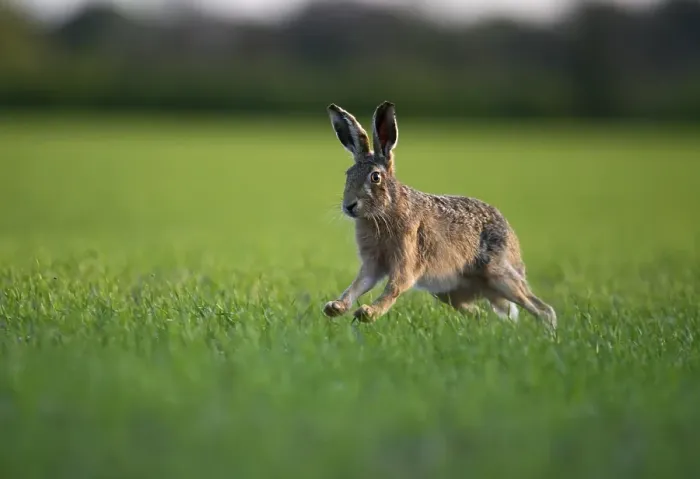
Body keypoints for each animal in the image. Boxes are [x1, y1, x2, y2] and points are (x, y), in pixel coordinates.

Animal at [322, 101, 557, 329]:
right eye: (348, 174)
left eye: (375, 177)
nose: (349, 206)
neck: (385, 210)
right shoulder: (373, 263)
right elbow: (358, 284)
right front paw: (335, 307)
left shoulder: (406, 260)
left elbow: (394, 287)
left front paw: (368, 313)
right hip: (449, 291)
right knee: (480, 314)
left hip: (500, 276)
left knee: (542, 309)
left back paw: (549, 333)